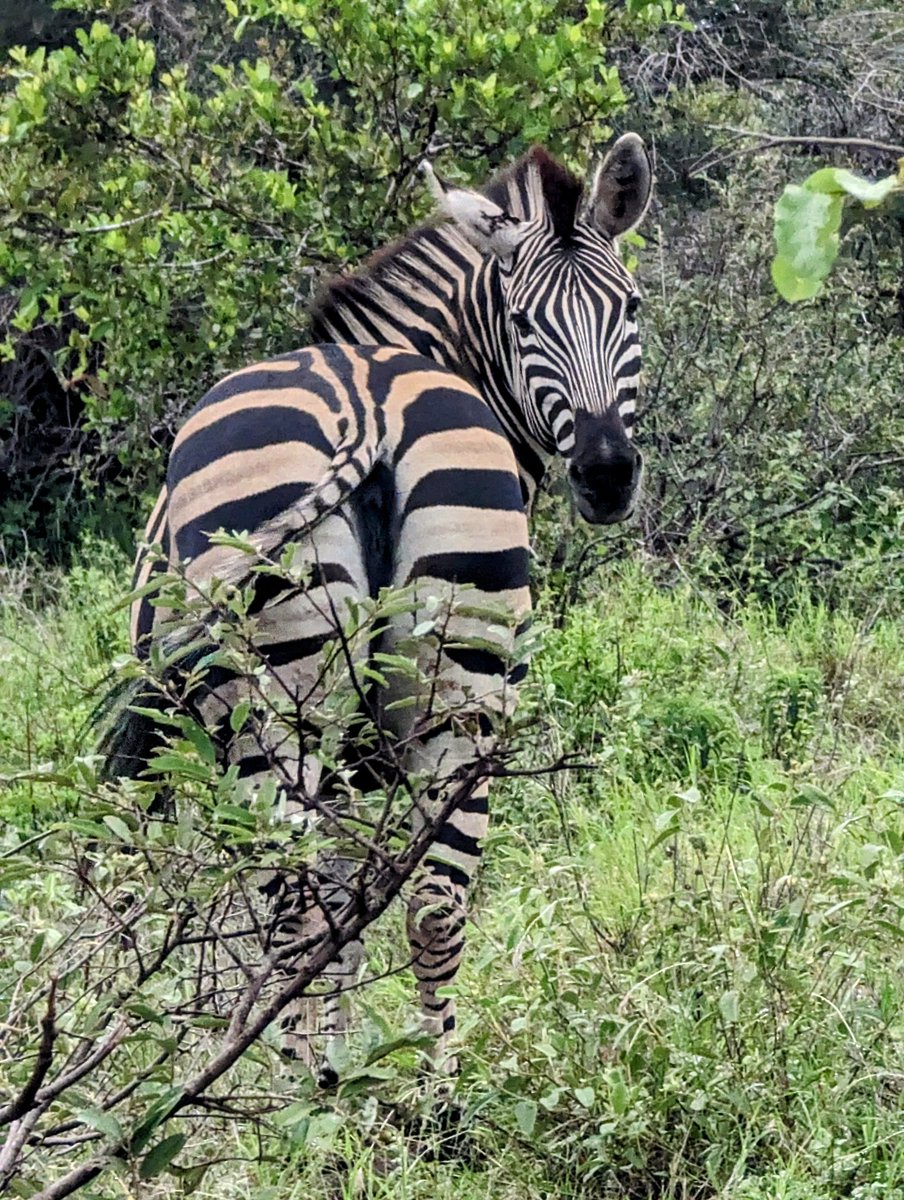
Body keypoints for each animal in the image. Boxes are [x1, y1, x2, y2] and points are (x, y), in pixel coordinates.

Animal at [102, 136, 653, 1084]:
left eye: (629, 308)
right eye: (524, 324)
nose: (609, 474)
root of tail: (364, 405)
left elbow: (328, 909)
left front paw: (331, 1058)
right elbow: (356, 906)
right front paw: (351, 1060)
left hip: (280, 713)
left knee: (294, 912)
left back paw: (293, 1094)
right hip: (461, 688)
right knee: (433, 905)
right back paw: (433, 1099)